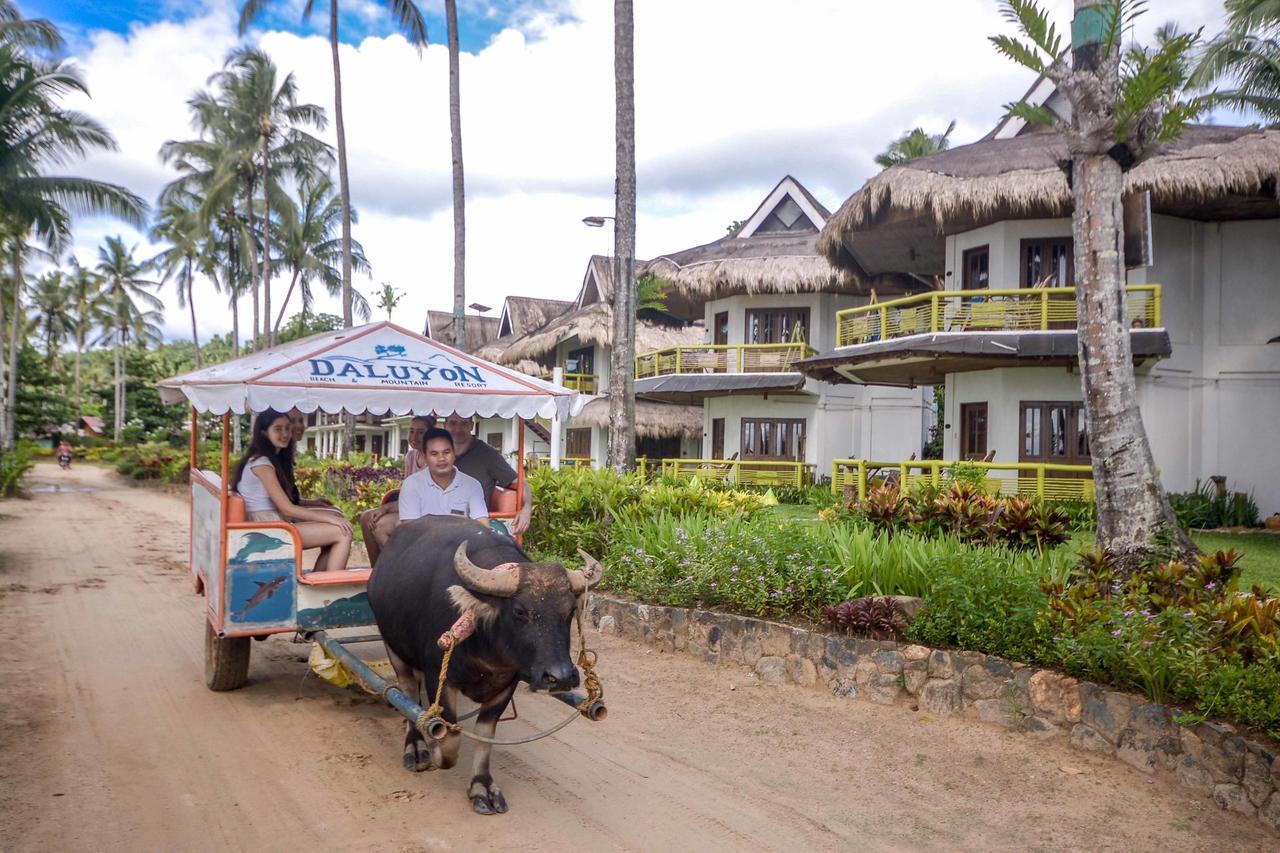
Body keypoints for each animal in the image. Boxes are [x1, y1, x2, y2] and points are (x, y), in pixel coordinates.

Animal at [368, 512, 601, 809]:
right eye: (520, 611)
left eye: (570, 610)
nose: (560, 678)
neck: (484, 646)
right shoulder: (439, 677)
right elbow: (449, 737)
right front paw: (435, 748)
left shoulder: (506, 684)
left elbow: (485, 735)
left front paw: (481, 787)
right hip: (393, 646)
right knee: (407, 691)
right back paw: (416, 746)